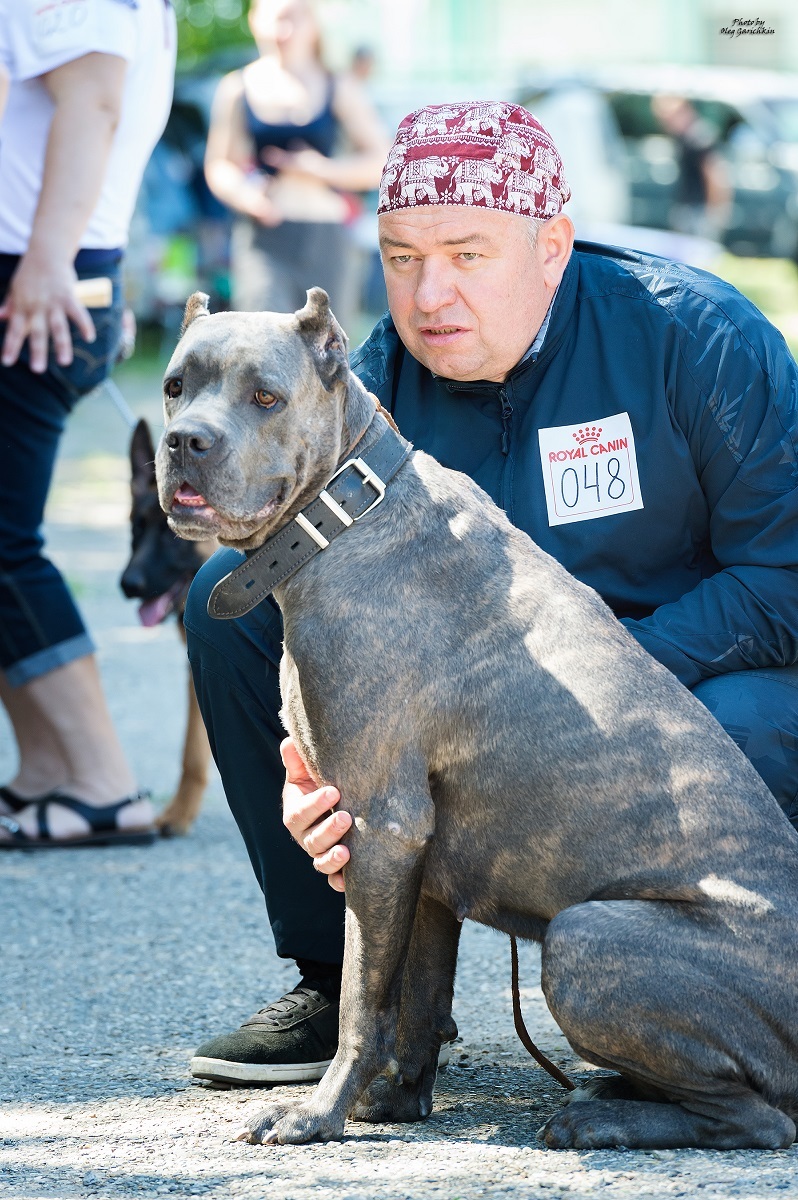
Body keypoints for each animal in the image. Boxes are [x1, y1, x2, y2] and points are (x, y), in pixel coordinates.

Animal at [157, 285, 796, 1147]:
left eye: (265, 397)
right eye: (175, 387)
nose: (184, 441)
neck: (346, 512)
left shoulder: (382, 828)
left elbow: (365, 1000)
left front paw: (320, 1113)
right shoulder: (423, 869)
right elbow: (417, 998)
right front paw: (394, 1101)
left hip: (586, 938)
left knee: (757, 1118)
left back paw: (598, 1119)